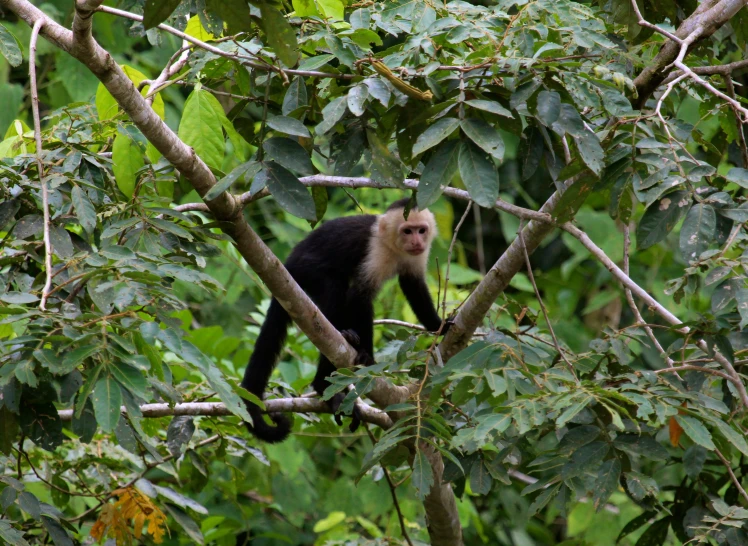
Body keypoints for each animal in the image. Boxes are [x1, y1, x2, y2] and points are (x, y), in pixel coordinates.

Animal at [241, 199, 450, 442]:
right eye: (407, 231)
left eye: (421, 230)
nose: (416, 241)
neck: (393, 247)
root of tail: (286, 266)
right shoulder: (375, 251)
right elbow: (360, 296)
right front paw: (367, 355)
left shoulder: (415, 257)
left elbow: (414, 286)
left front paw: (439, 326)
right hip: (303, 272)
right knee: (334, 289)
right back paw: (327, 380)